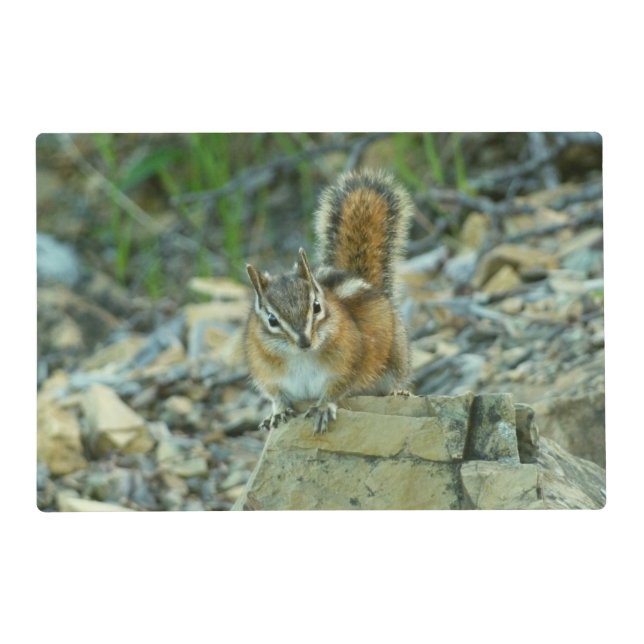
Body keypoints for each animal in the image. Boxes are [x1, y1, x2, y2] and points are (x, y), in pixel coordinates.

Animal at [244, 169, 414, 433]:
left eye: (316, 307)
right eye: (272, 319)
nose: (304, 342)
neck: (300, 357)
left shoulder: (348, 364)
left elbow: (336, 389)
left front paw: (323, 407)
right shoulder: (267, 374)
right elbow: (276, 395)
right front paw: (277, 412)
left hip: (396, 356)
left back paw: (398, 391)